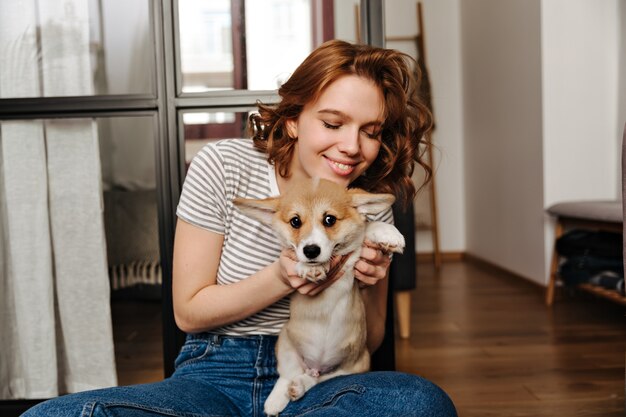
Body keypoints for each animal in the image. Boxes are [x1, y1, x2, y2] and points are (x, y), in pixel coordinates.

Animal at [232, 177, 402, 414]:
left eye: (329, 219)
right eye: (295, 222)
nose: (311, 251)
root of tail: (316, 366)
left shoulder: (355, 256)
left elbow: (366, 227)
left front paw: (388, 233)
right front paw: (309, 266)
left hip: (352, 368)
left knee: (315, 379)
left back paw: (300, 386)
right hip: (284, 343)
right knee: (287, 375)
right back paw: (276, 400)